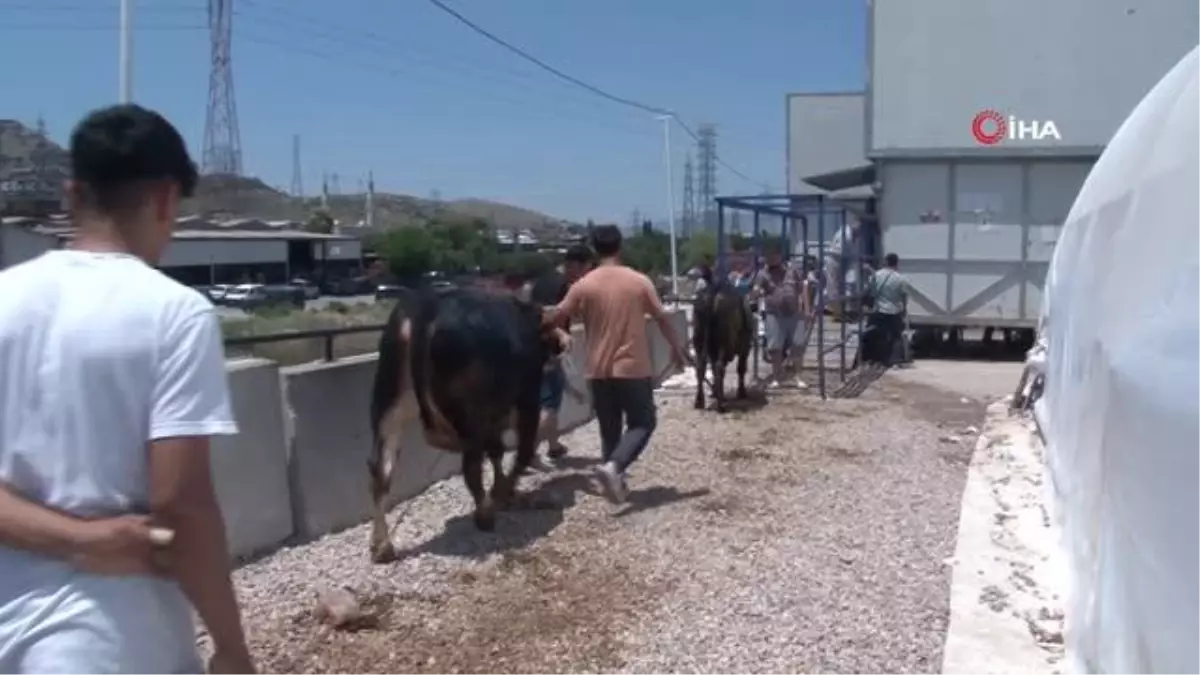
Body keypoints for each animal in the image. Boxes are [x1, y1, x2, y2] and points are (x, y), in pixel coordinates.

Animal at [364, 281, 566, 559]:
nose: (563, 344)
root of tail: (426, 306)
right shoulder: (527, 399)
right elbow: (520, 452)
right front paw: (504, 494)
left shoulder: (494, 415)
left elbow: (497, 452)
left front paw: (502, 490)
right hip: (468, 415)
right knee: (471, 466)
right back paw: (485, 515)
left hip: (388, 406)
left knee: (380, 471)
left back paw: (382, 545)